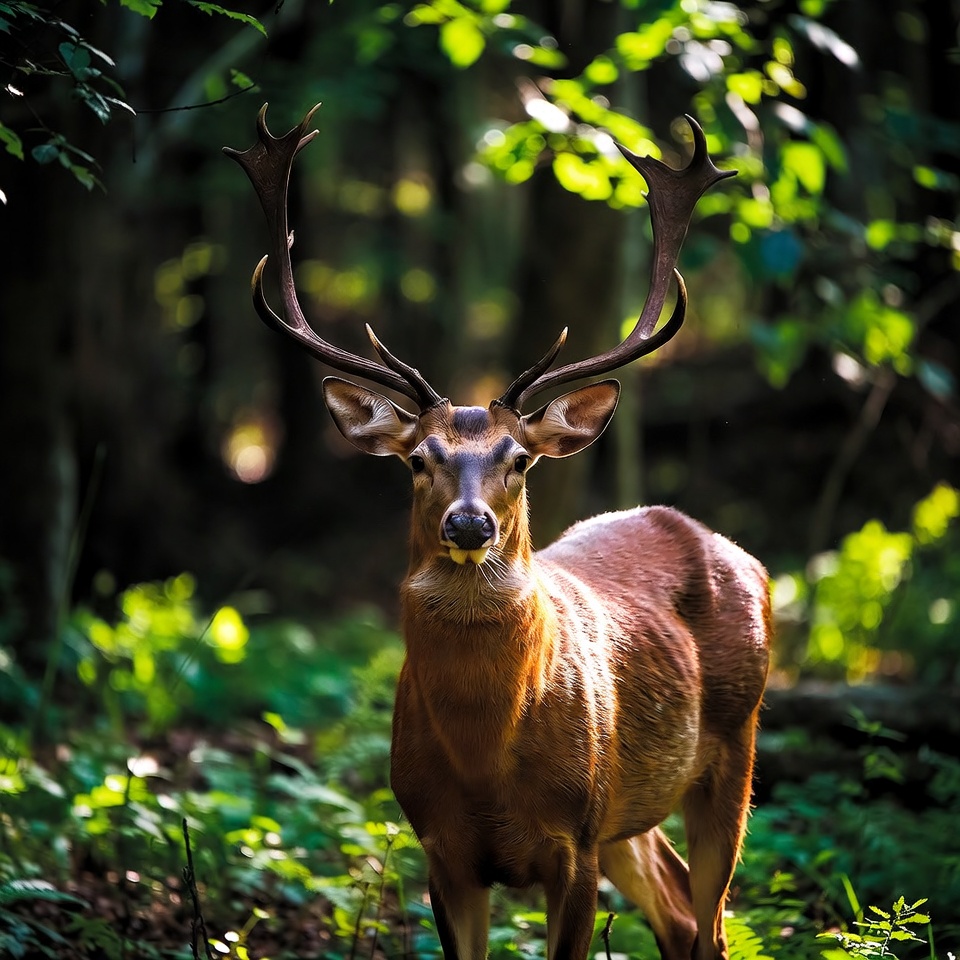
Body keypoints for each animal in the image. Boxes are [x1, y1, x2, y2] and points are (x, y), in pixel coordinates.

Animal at [225, 104, 771, 960]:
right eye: (419, 459)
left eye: (518, 459)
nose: (470, 521)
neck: (486, 760)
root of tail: (741, 556)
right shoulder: (440, 848)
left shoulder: (575, 840)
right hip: (632, 812)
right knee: (682, 911)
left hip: (731, 749)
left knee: (711, 924)